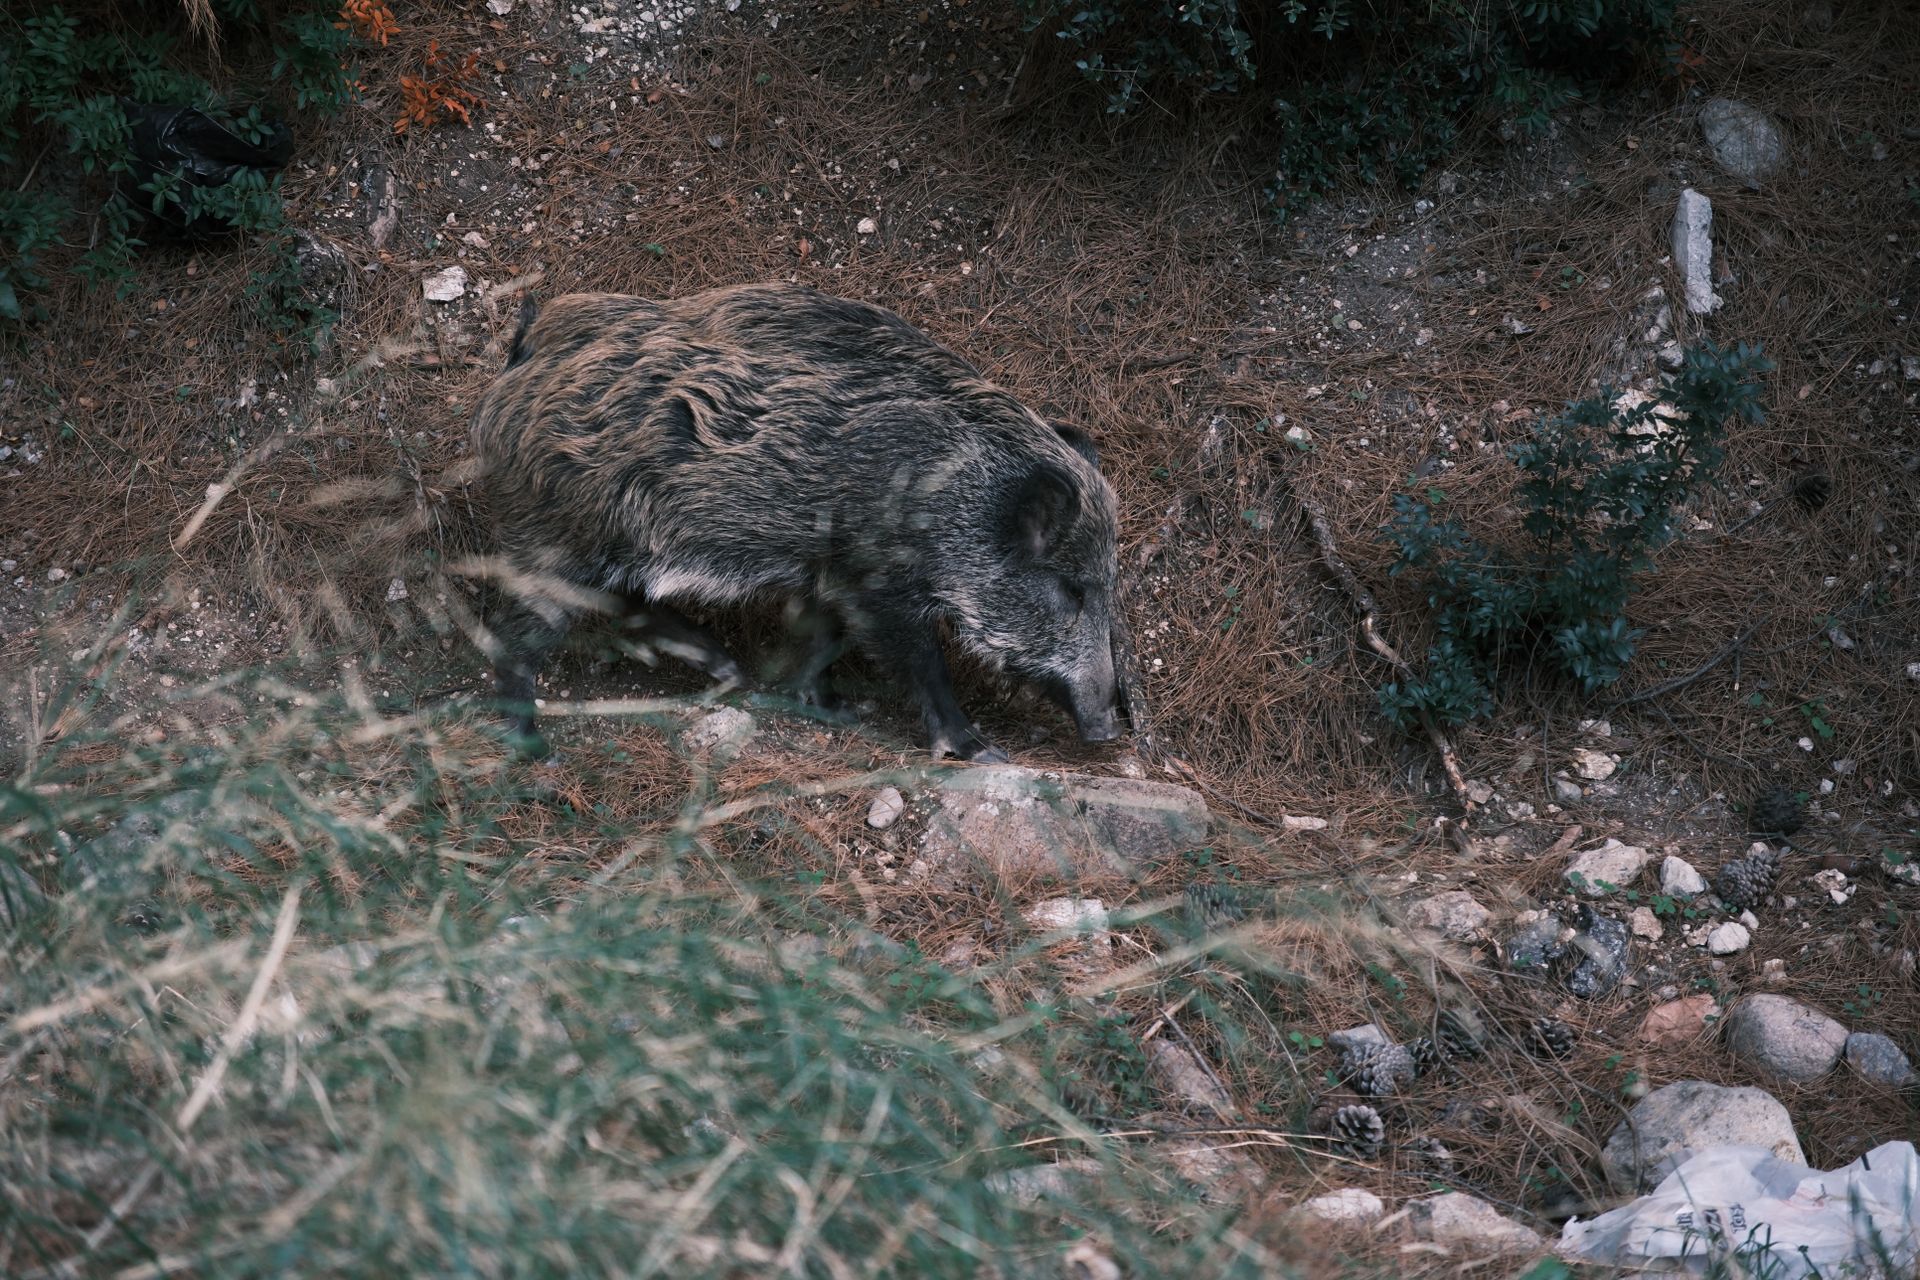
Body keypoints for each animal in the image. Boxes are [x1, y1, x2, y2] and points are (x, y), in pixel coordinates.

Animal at [467, 282, 1121, 762]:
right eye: (1072, 588)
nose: (1109, 730)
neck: (961, 495)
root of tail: (522, 355)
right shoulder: (879, 582)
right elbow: (921, 663)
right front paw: (978, 751)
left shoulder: (833, 573)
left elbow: (824, 638)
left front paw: (827, 708)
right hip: (555, 538)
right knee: (516, 635)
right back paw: (534, 748)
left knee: (627, 603)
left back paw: (728, 670)